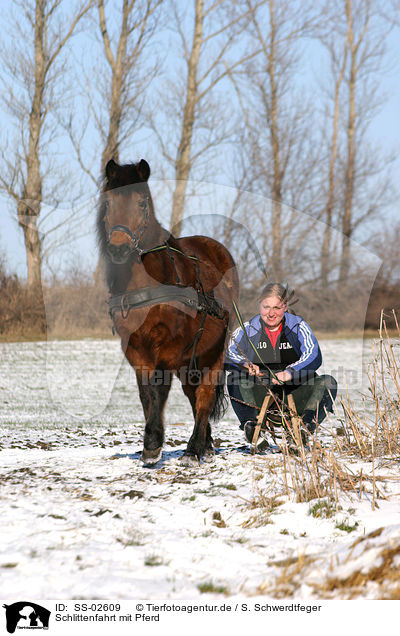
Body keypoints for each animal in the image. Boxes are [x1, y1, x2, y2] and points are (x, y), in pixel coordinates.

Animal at [97, 159, 239, 468]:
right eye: (108, 202)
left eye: (141, 202)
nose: (118, 247)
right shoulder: (134, 348)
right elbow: (145, 393)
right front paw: (151, 444)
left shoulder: (171, 346)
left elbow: (159, 389)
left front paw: (152, 443)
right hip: (191, 359)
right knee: (192, 394)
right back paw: (205, 444)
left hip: (213, 351)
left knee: (205, 393)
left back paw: (193, 449)